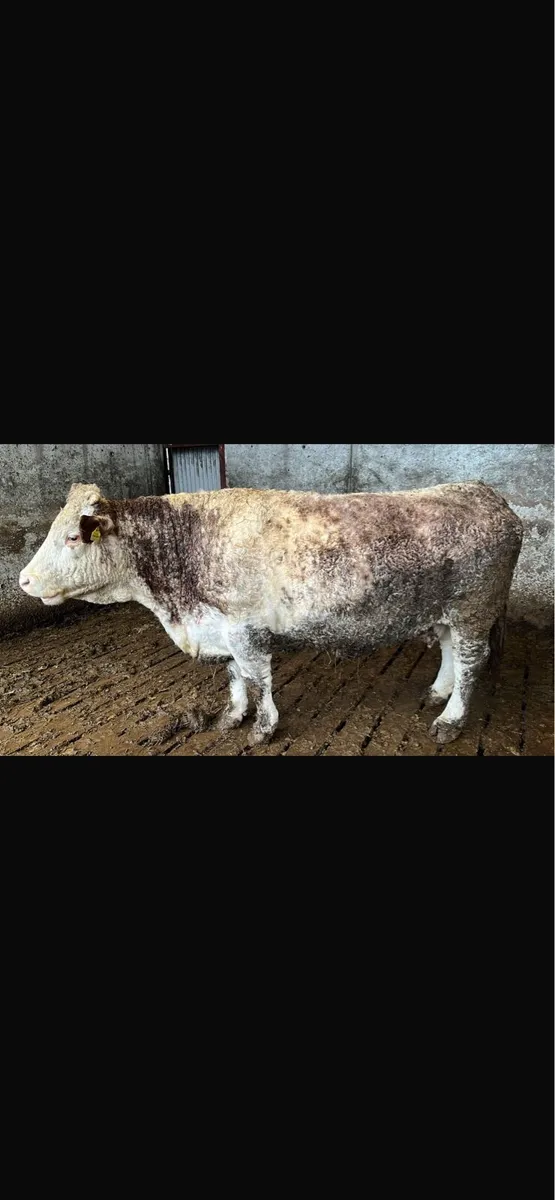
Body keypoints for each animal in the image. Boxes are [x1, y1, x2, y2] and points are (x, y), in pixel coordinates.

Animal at [19, 481, 523, 746]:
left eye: (73, 537)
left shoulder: (245, 628)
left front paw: (262, 729)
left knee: (472, 663)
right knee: (449, 651)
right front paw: (230, 717)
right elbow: (234, 678)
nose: (23, 580)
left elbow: (258, 679)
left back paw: (450, 721)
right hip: (448, 612)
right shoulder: (219, 627)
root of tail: (487, 493)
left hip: (474, 608)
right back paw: (437, 693)